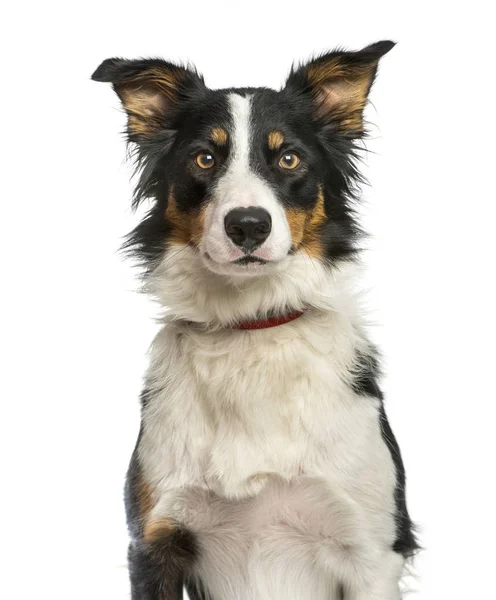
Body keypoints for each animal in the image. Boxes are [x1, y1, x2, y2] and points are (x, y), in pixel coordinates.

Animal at [92, 39, 414, 596]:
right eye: (204, 158)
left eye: (288, 157)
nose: (247, 225)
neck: (250, 326)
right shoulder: (153, 540)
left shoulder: (373, 553)